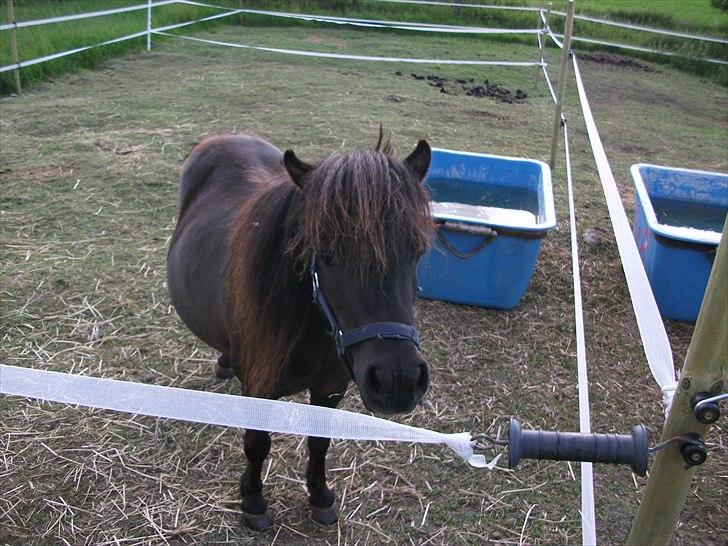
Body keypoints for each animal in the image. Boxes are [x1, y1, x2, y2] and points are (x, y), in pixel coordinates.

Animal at [166, 130, 432, 528]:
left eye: (416, 249)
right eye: (326, 251)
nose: (396, 381)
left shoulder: (331, 387)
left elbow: (319, 442)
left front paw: (320, 496)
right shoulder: (258, 388)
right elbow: (257, 444)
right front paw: (253, 500)